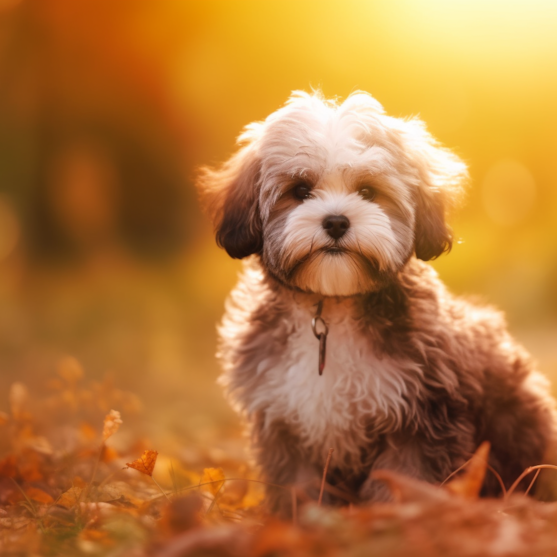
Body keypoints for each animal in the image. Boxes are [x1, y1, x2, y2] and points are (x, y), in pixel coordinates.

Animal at [198, 91, 552, 512]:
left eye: (367, 191)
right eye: (300, 190)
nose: (336, 222)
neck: (332, 306)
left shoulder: (421, 415)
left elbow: (403, 480)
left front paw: (395, 517)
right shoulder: (283, 420)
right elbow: (297, 485)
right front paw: (297, 520)